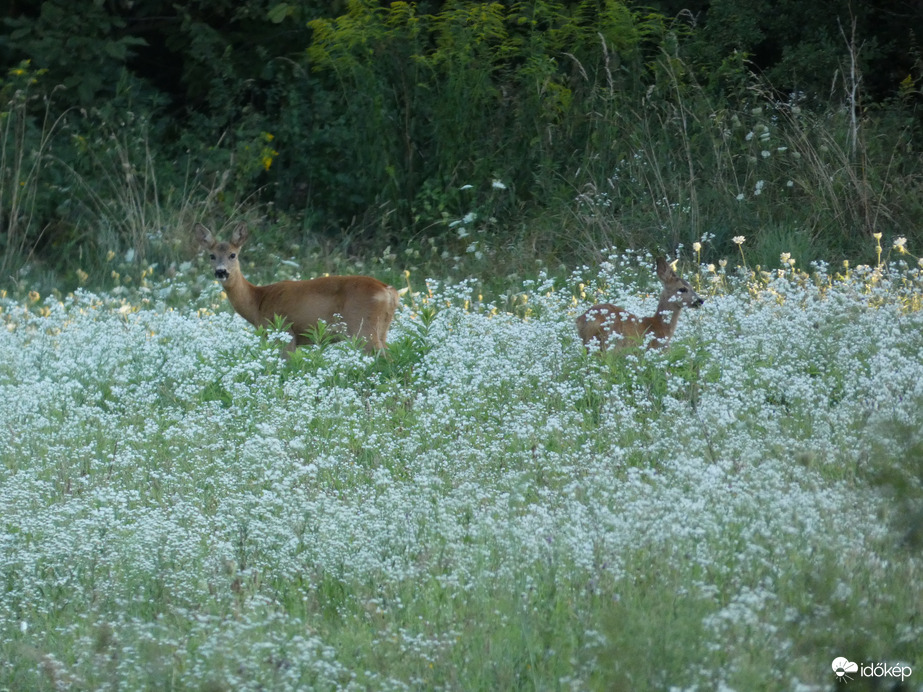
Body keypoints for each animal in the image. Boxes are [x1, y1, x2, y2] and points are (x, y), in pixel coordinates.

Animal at [197, 224, 398, 354]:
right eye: (211, 256)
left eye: (233, 255)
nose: (221, 272)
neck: (257, 301)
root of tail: (388, 290)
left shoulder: (284, 332)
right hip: (382, 328)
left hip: (362, 326)